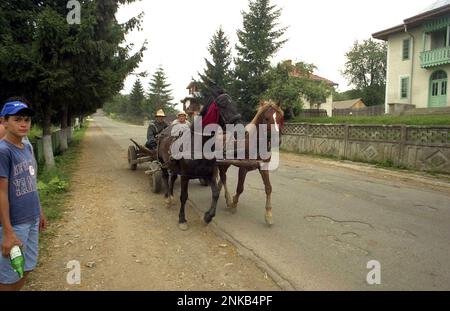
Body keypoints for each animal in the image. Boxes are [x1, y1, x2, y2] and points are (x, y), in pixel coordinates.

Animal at [158, 92, 243, 232]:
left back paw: (171, 196)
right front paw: (182, 219)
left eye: (235, 104)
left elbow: (215, 194)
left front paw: (208, 217)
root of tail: (164, 132)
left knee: (172, 178)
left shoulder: (209, 174)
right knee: (165, 177)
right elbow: (184, 196)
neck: (199, 145)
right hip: (162, 163)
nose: (241, 130)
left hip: (174, 167)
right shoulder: (185, 176)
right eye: (223, 105)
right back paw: (167, 197)